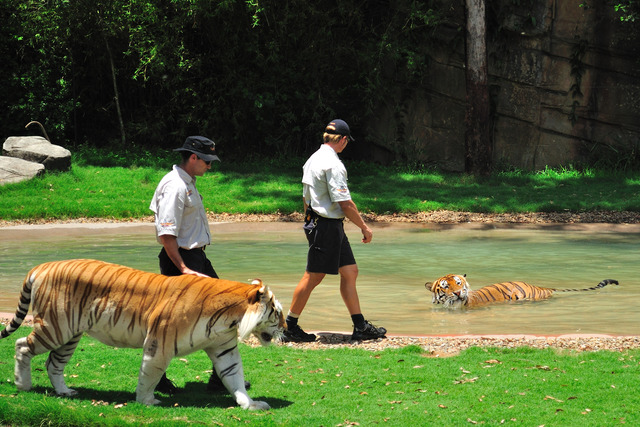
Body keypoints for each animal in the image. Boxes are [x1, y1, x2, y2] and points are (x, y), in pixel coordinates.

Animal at [0, 259, 284, 410]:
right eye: (278, 313)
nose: (288, 328)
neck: (230, 319)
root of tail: (42, 265)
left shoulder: (224, 348)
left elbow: (234, 376)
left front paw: (250, 404)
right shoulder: (160, 343)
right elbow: (151, 373)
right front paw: (146, 400)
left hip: (70, 335)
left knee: (53, 363)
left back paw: (65, 392)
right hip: (55, 327)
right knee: (21, 345)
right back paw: (23, 384)